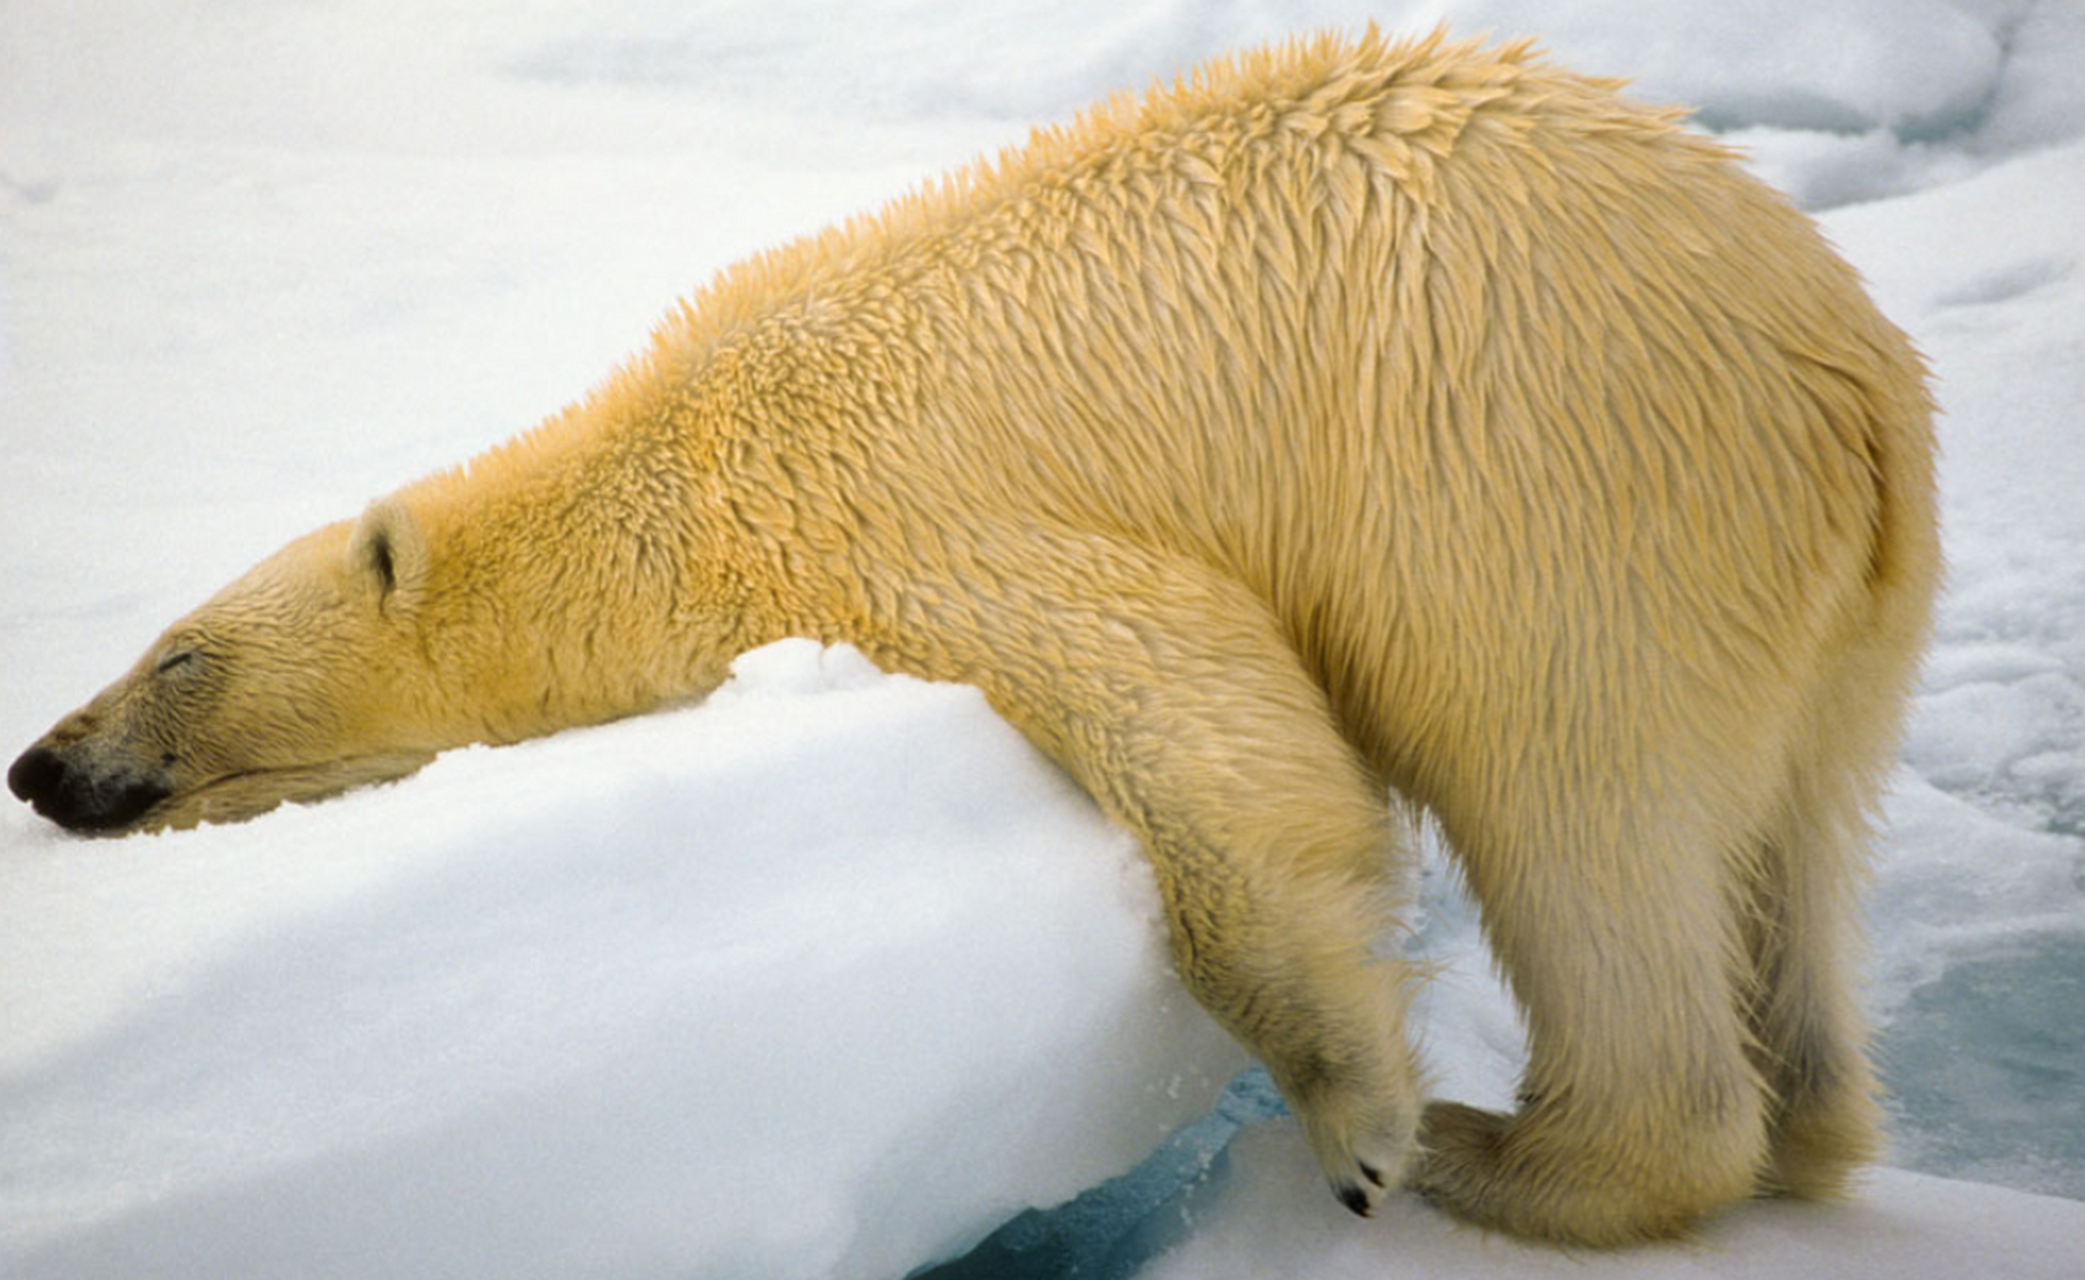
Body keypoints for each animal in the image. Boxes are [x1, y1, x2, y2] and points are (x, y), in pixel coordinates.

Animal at [9, 29, 1937, 1246]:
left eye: (174, 656)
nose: (40, 764)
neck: (671, 468)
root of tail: (1849, 379)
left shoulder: (891, 514)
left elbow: (1203, 724)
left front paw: (1363, 1122)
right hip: (1835, 600)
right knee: (1796, 830)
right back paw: (1804, 1118)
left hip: (1556, 500)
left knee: (1575, 798)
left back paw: (1516, 1157)